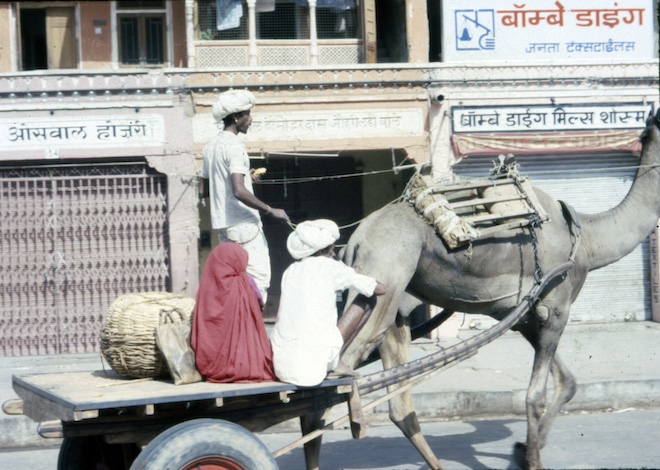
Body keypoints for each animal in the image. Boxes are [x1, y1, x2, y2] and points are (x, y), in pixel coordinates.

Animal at [299, 109, 660, 470]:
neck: (587, 240)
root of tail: (355, 241)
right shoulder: (556, 309)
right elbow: (535, 396)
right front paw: (532, 459)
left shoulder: (526, 315)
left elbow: (567, 382)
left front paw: (523, 450)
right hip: (383, 277)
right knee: (335, 377)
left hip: (391, 305)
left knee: (395, 404)